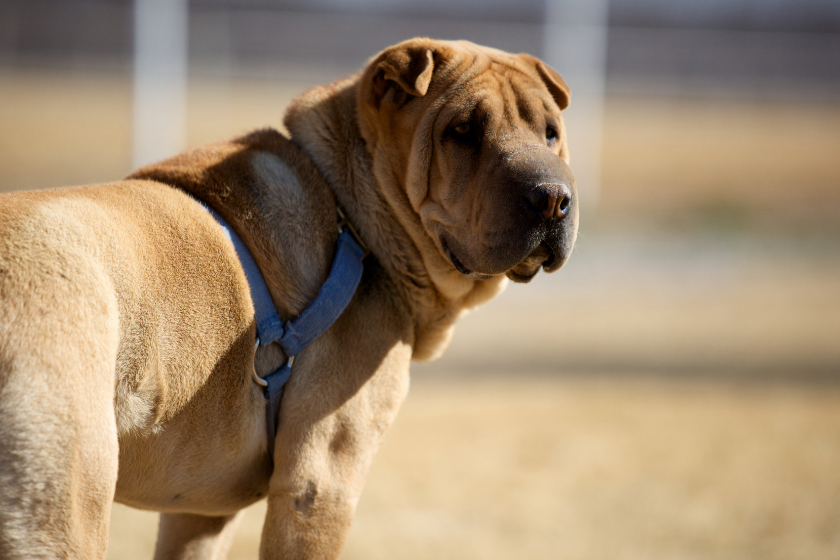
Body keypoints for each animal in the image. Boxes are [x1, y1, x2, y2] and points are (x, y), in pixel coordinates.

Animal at [0, 37, 576, 556]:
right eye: (462, 132)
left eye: (551, 133)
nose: (553, 199)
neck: (352, 215)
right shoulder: (319, 486)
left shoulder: (199, 511)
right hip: (67, 503)